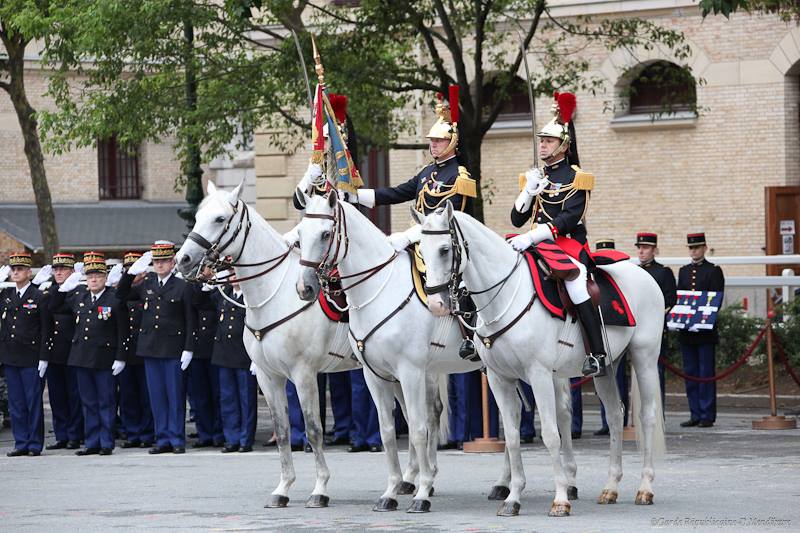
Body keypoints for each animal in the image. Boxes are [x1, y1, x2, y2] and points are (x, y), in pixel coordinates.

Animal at [177, 182, 370, 508]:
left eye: (219, 219)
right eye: (198, 216)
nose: (183, 260)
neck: (274, 295)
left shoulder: (304, 375)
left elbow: (313, 430)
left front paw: (320, 488)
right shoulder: (269, 377)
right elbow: (282, 431)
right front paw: (283, 488)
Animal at [294, 191, 482, 512]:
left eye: (326, 234)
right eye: (300, 234)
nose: (304, 287)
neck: (378, 291)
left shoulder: (410, 372)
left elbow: (418, 429)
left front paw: (421, 493)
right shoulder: (376, 376)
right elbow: (388, 432)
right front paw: (391, 491)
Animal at [416, 203, 664, 516]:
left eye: (445, 249)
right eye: (422, 251)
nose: (437, 305)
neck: (504, 296)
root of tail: (643, 273)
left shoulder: (539, 374)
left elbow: (550, 433)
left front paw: (560, 499)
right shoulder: (499, 378)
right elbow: (511, 437)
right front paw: (512, 498)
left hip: (644, 357)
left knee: (647, 416)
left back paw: (645, 488)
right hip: (607, 367)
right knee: (616, 415)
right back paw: (611, 487)